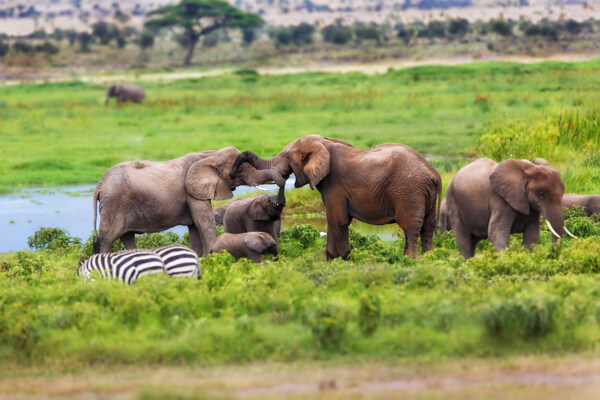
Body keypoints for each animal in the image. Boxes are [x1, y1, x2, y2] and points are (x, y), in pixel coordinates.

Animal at [92, 147, 288, 256]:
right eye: (239, 171)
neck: (209, 155)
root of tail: (99, 186)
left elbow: (194, 227)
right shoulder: (192, 193)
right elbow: (205, 223)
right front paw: (213, 259)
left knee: (127, 237)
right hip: (114, 204)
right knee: (107, 239)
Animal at [232, 134, 442, 260]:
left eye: (288, 158)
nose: (234, 171)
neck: (324, 143)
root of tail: (434, 174)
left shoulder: (335, 185)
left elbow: (337, 219)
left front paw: (340, 259)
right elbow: (334, 219)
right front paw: (334, 259)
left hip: (409, 191)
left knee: (410, 227)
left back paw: (409, 260)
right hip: (424, 194)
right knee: (427, 226)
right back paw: (429, 258)